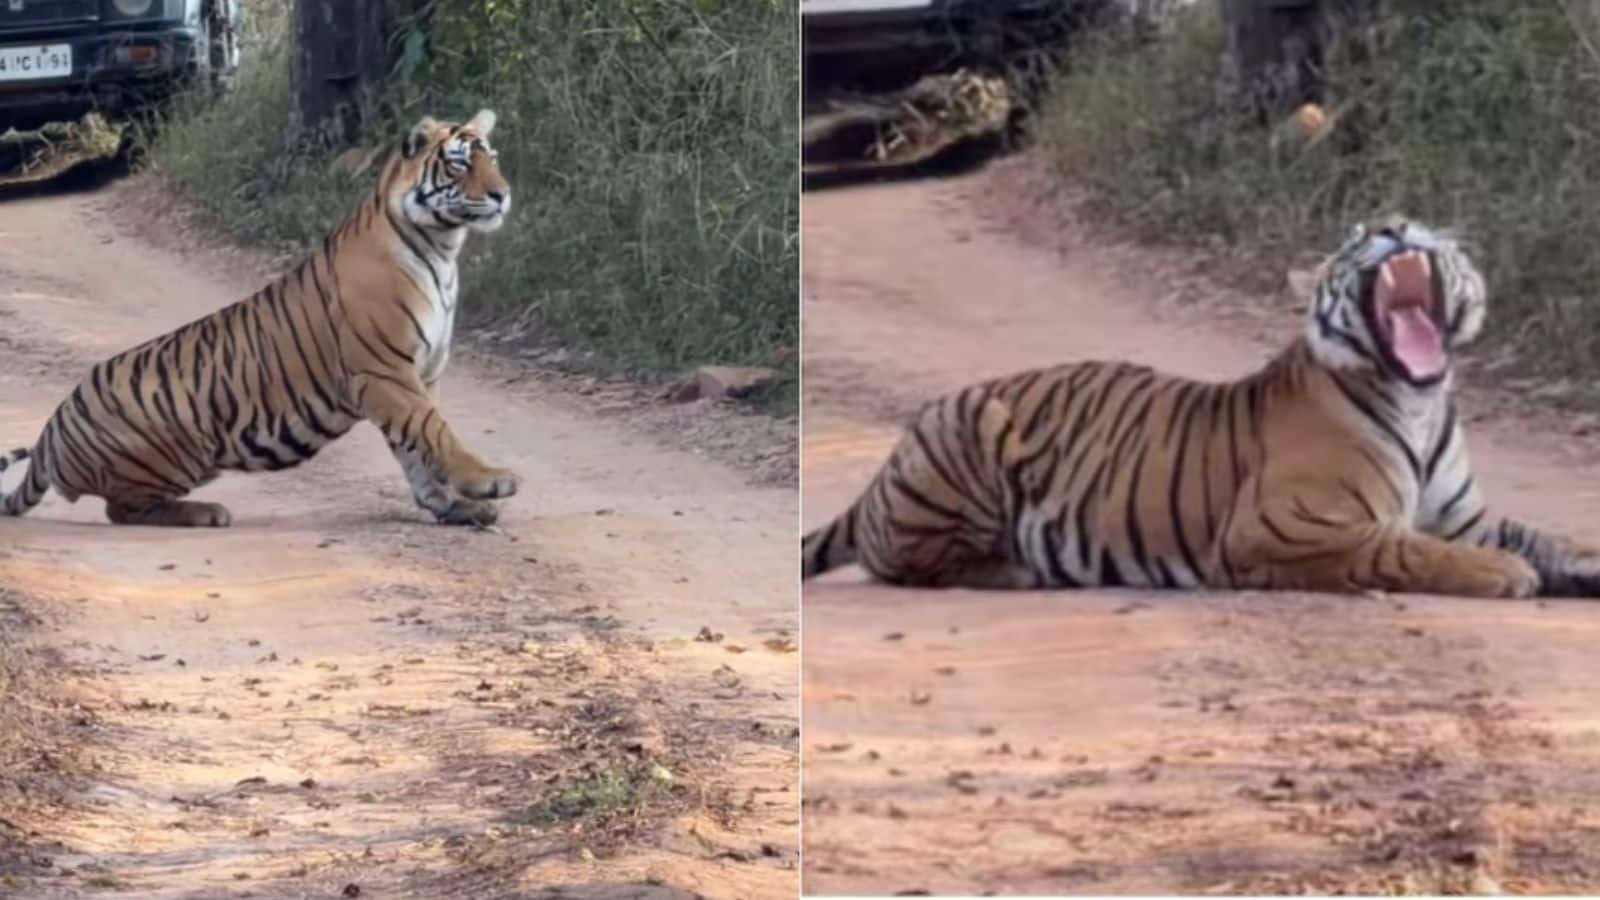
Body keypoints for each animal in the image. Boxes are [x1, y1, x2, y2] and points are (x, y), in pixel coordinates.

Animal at [0, 109, 518, 528]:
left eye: (493, 158)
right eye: (460, 163)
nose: (502, 195)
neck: (443, 248)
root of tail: (54, 424)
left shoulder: (418, 376)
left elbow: (415, 447)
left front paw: (452, 506)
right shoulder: (386, 371)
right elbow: (435, 432)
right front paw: (488, 481)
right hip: (175, 452)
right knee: (122, 508)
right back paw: (206, 513)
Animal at [802, 216, 1600, 598]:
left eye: (1411, 222)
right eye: (1355, 237)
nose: (1394, 227)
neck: (1418, 401)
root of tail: (885, 467)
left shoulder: (1469, 515)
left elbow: (1543, 537)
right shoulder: (1285, 528)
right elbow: (1409, 549)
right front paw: (1505, 574)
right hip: (970, 436)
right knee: (907, 561)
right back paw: (1017, 568)